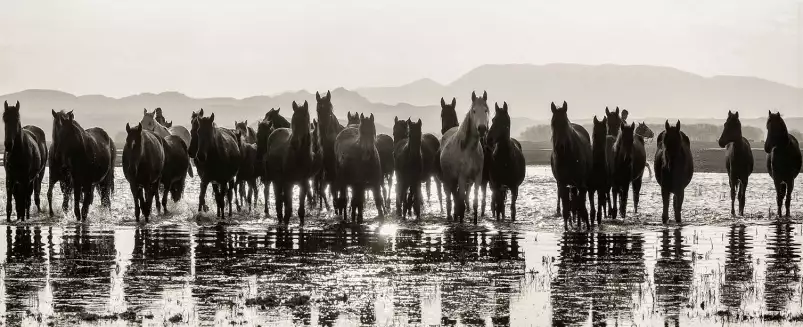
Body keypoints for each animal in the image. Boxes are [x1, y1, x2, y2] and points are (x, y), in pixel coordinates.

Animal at [440, 91, 490, 224]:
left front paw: (475, 222)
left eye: (486, 110)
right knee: (450, 196)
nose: (482, 128)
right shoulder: (462, 178)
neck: (470, 150)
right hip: (449, 178)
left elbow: (475, 203)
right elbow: (461, 203)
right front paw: (461, 221)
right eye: (474, 111)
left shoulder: (477, 178)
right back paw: (451, 216)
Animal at [548, 100, 592, 231]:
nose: (559, 147)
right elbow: (566, 208)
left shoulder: (581, 184)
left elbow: (581, 206)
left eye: (565, 124)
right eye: (553, 123)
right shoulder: (562, 184)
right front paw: (567, 227)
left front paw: (583, 225)